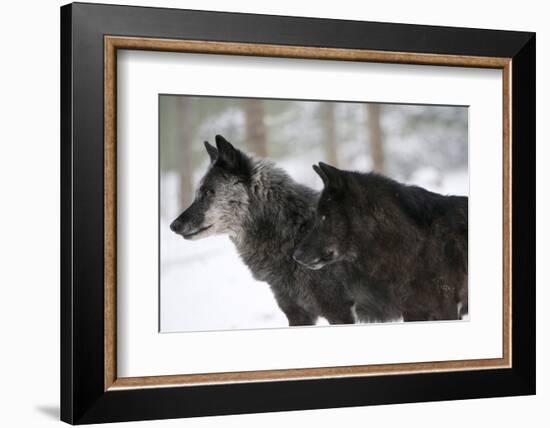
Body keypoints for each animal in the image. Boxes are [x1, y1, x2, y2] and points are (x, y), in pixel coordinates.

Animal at [169, 135, 402, 326]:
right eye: (198, 192)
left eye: (209, 192)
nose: (173, 226)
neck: (294, 233)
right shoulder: (295, 313)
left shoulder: (339, 312)